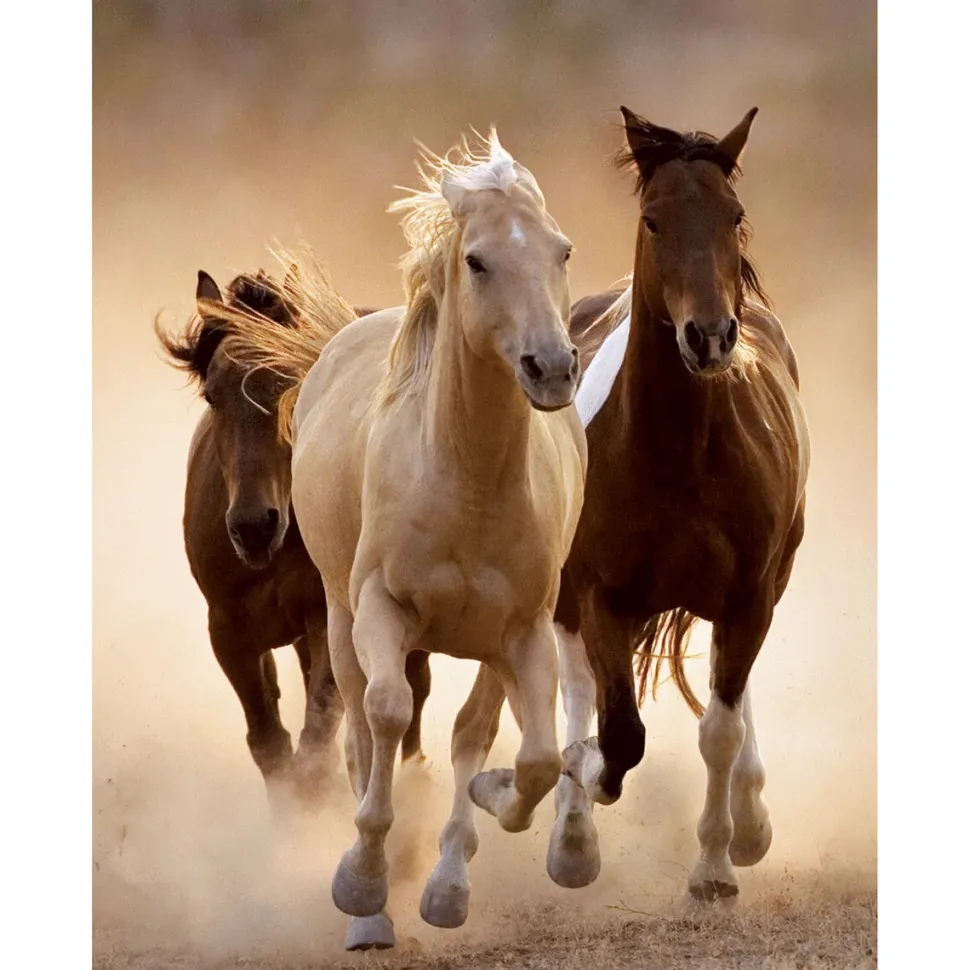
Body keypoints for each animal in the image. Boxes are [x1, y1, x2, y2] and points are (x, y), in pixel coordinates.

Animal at [156, 266, 434, 949]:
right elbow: (270, 743)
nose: (254, 526)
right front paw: (288, 841)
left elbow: (317, 738)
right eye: (214, 396)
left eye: (289, 386)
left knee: (409, 705)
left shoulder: (325, 619)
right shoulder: (229, 631)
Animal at [222, 131, 587, 932]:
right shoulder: (380, 611)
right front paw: (361, 882)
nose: (551, 367)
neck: (466, 483)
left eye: (563, 250)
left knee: (468, 733)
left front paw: (480, 824)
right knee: (362, 731)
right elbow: (384, 717)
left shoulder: (523, 633)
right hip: (336, 618)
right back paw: (371, 911)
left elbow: (531, 756)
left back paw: (446, 878)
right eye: (477, 260)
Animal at [550, 107, 811, 903]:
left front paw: (717, 867)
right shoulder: (601, 594)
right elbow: (618, 733)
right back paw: (571, 836)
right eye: (654, 219)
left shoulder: (749, 595)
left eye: (735, 215)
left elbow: (720, 728)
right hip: (566, 593)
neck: (681, 454)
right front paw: (585, 782)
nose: (710, 335)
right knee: (576, 686)